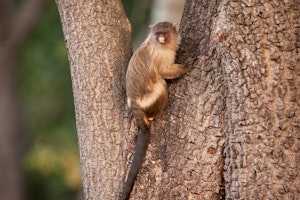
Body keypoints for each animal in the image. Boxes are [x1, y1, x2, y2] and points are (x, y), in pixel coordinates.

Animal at [118, 21, 191, 200]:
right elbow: (164, 71)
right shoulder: (160, 55)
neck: (160, 45)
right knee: (161, 85)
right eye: (159, 34)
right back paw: (155, 115)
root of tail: (134, 104)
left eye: (164, 33)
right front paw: (185, 67)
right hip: (148, 100)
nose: (161, 39)